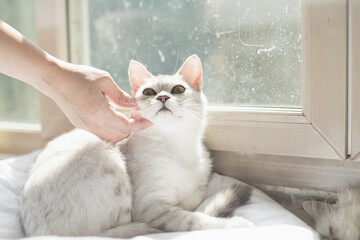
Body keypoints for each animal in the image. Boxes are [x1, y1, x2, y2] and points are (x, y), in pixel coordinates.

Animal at [19, 55, 253, 237]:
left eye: (178, 89)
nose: (163, 97)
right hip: (108, 160)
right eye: (148, 92)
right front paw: (236, 224)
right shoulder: (152, 208)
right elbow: (192, 219)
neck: (177, 147)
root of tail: (37, 234)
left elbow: (193, 201)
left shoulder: (195, 189)